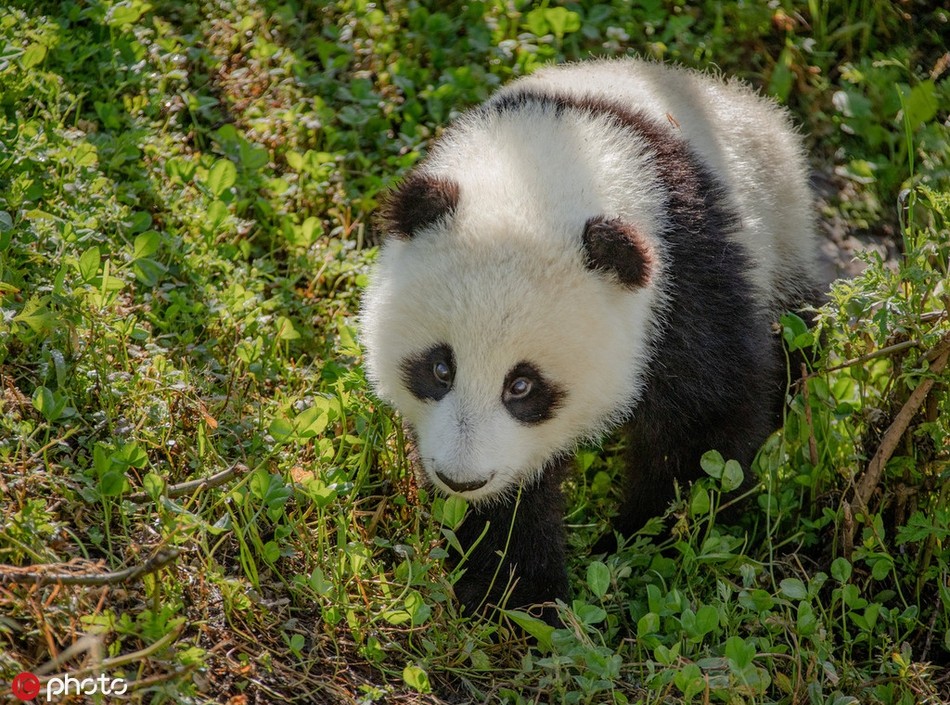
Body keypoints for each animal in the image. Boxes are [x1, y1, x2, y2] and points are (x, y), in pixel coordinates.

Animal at [360, 59, 820, 616]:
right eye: (439, 368)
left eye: (523, 386)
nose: (462, 478)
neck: (543, 172)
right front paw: (513, 588)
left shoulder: (687, 283)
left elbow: (705, 426)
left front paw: (639, 542)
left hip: (779, 247)